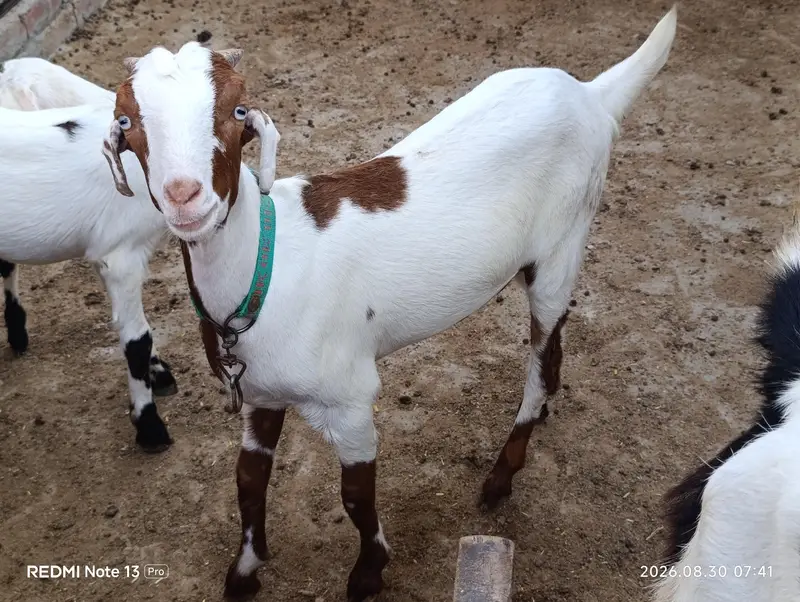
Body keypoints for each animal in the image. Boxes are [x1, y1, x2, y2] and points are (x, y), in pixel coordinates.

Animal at [102, 7, 677, 600]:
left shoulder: (350, 397)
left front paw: (368, 572)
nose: (185, 196)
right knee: (554, 348)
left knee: (541, 360)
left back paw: (500, 476)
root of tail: (589, 95)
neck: (269, 263)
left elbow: (355, 495)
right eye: (127, 122)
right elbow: (248, 481)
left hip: (563, 243)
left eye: (237, 112)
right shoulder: (260, 392)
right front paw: (245, 570)